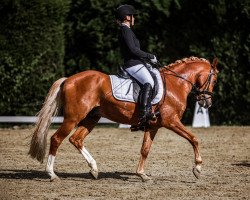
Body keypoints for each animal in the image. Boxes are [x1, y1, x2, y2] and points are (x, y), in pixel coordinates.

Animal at [28, 55, 218, 181]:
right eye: (215, 79)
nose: (207, 103)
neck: (175, 84)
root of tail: (68, 79)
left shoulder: (153, 126)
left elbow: (145, 149)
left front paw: (142, 174)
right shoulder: (171, 121)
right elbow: (194, 138)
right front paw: (198, 168)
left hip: (91, 119)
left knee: (76, 139)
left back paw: (94, 169)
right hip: (72, 118)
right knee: (56, 139)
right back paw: (52, 174)